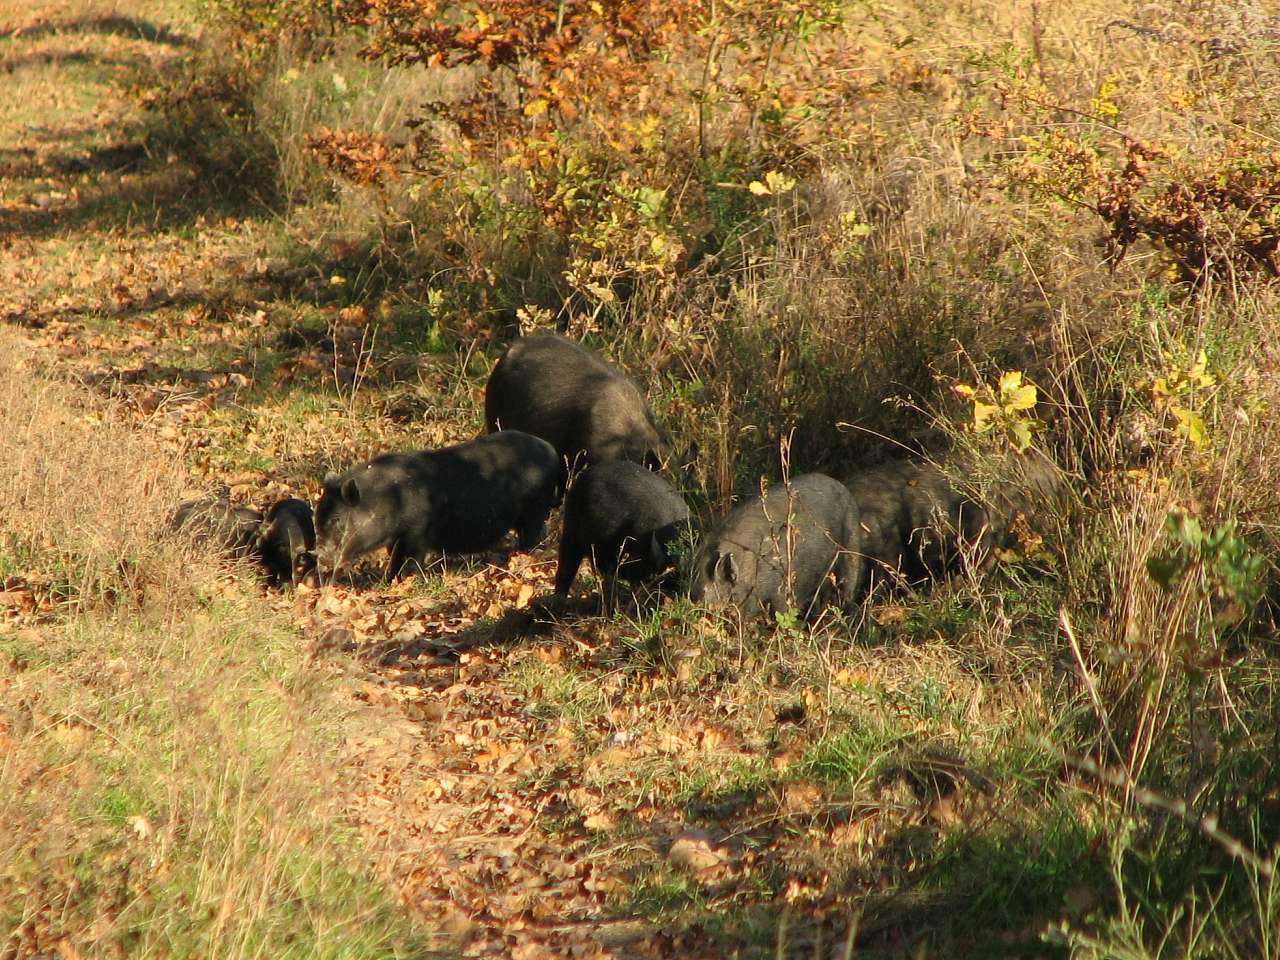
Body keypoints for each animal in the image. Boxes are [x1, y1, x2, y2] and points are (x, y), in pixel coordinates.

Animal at [316, 435, 560, 578]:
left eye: (337, 520)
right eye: (317, 517)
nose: (321, 556)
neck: (389, 499)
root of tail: (551, 450)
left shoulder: (417, 531)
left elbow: (411, 558)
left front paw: (405, 579)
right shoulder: (397, 538)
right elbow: (394, 557)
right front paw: (390, 578)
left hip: (534, 510)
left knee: (533, 534)